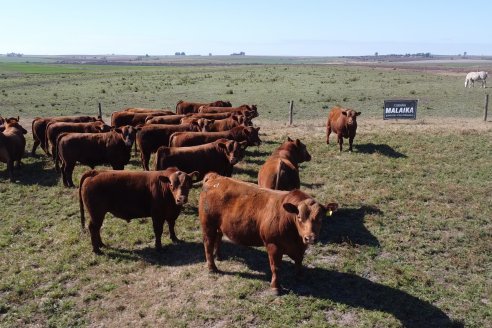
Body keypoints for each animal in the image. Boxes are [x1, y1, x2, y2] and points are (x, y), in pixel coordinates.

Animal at [199, 173, 338, 294]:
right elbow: (275, 267)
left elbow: (299, 261)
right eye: (299, 217)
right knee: (208, 244)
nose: (310, 238)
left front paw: (299, 276)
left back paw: (219, 256)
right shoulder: (273, 245)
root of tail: (215, 177)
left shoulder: (301, 246)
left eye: (320, 218)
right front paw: (276, 287)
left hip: (219, 226)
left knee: (218, 237)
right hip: (208, 225)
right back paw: (212, 267)